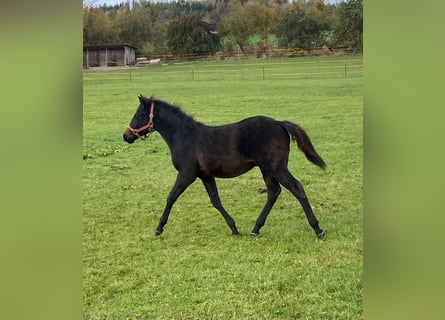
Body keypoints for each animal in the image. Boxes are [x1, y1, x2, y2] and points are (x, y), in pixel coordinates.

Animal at [123, 95, 324, 238]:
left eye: (139, 115)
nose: (126, 136)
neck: (185, 136)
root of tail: (280, 124)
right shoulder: (205, 175)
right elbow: (215, 200)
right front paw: (234, 228)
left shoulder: (187, 174)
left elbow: (171, 197)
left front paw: (159, 228)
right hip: (266, 169)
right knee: (274, 192)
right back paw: (255, 229)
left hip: (277, 168)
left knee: (296, 188)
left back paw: (318, 229)